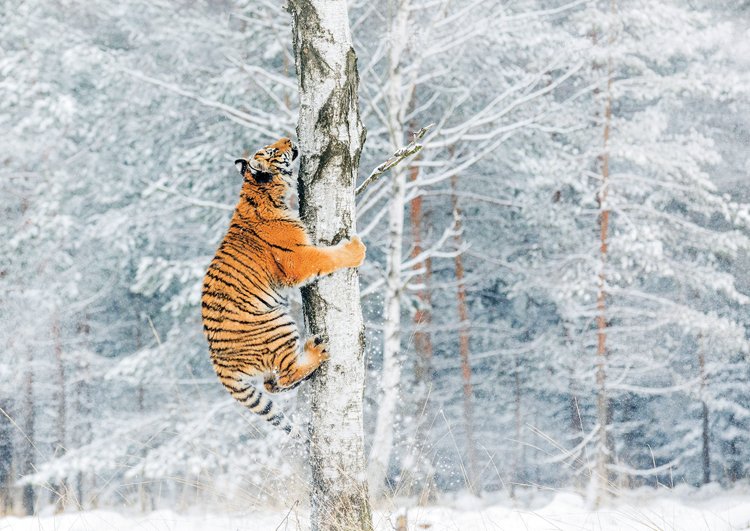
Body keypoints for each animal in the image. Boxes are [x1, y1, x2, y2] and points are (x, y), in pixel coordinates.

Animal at [200, 139, 368, 438]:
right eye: (272, 151)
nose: (289, 139)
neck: (259, 193)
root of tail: (218, 366)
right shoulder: (299, 259)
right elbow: (329, 257)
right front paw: (355, 250)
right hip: (276, 325)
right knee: (285, 372)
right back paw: (316, 352)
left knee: (272, 383)